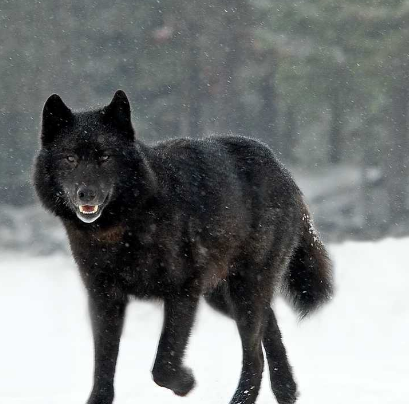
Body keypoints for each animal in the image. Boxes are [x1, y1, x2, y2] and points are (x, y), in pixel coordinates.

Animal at [31, 90, 332, 404]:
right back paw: (287, 389)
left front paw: (185, 382)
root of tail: (282, 169)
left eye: (104, 157)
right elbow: (103, 369)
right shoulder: (104, 298)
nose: (86, 193)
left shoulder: (182, 292)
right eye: (70, 158)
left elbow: (163, 364)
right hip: (223, 296)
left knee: (254, 355)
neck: (125, 226)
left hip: (244, 291)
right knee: (269, 325)